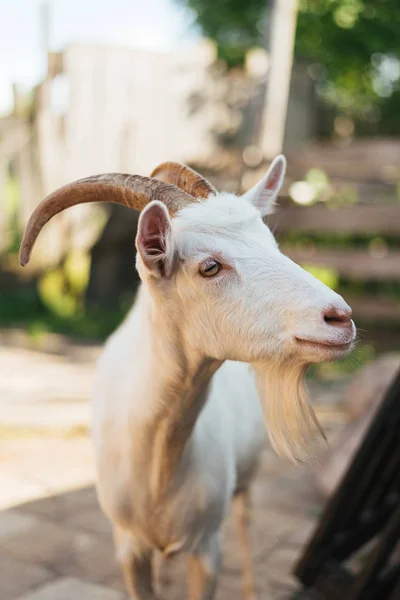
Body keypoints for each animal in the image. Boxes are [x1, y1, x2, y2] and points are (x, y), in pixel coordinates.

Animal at [19, 156, 356, 600]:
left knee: (246, 521)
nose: (340, 318)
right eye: (209, 267)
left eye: (272, 244)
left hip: (247, 475)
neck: (159, 459)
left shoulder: (207, 546)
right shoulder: (128, 546)